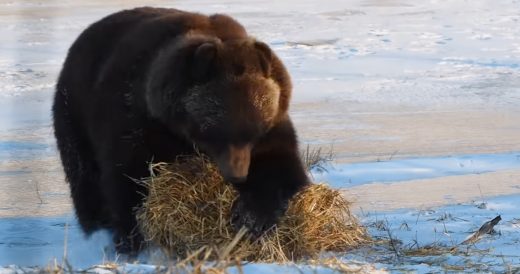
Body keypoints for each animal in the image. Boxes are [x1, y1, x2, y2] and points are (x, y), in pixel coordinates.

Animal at [53, 6, 308, 255]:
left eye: (255, 132)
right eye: (214, 131)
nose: (238, 174)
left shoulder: (273, 121)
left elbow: (279, 166)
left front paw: (253, 217)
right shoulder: (136, 120)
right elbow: (126, 177)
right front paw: (131, 240)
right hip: (74, 109)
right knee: (84, 174)